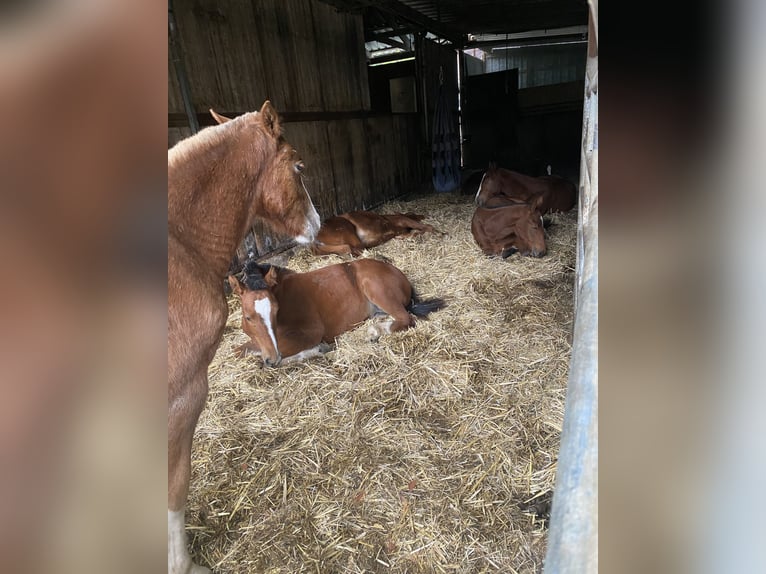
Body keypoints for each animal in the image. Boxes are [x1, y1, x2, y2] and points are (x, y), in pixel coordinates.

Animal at [227, 259, 445, 366]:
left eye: (276, 312)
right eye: (248, 317)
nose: (272, 358)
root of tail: (399, 273)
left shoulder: (312, 332)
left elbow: (259, 355)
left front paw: (318, 349)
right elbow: (241, 350)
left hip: (375, 288)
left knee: (406, 318)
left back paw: (374, 332)